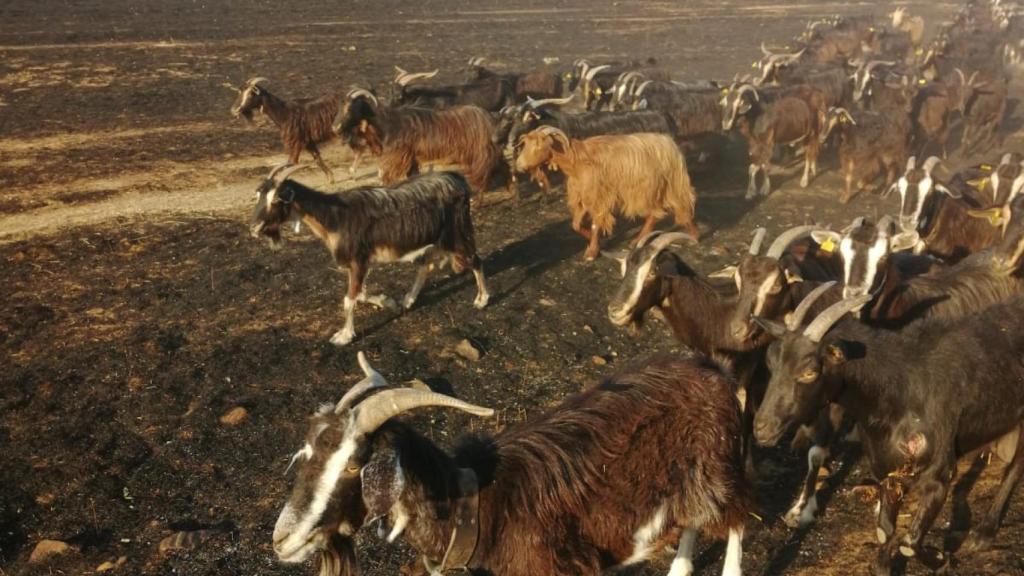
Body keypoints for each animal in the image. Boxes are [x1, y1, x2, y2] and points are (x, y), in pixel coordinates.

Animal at [249, 165, 489, 346]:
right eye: (259, 196)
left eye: (277, 200)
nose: (254, 228)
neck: (335, 217)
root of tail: (457, 180)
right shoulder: (357, 265)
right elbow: (360, 294)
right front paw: (388, 302)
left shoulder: (358, 261)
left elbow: (349, 300)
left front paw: (343, 336)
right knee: (426, 266)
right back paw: (408, 300)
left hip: (456, 233)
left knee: (475, 260)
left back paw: (481, 300)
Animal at [273, 351, 752, 576]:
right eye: (308, 453)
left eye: (355, 464)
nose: (282, 540)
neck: (478, 510)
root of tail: (714, 370)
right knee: (693, 521)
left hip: (720, 466)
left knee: (735, 520)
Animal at [333, 90, 499, 204]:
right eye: (339, 108)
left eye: (350, 109)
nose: (335, 128)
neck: (386, 125)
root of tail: (487, 118)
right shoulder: (411, 160)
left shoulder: (396, 161)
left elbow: (387, 181)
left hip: (480, 155)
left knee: (482, 176)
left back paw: (476, 202)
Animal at [515, 127, 697, 260]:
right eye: (525, 144)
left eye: (539, 145)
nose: (519, 165)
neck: (576, 160)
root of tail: (670, 142)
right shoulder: (583, 196)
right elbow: (576, 225)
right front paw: (595, 242)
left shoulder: (598, 197)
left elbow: (596, 224)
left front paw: (592, 251)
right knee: (655, 214)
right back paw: (637, 241)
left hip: (670, 185)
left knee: (680, 206)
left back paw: (694, 237)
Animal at [753, 288, 1024, 575]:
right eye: (770, 363)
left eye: (809, 372)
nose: (761, 428)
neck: (900, 387)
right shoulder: (887, 469)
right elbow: (885, 529)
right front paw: (884, 566)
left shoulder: (939, 474)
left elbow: (910, 542)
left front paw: (941, 558)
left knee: (1016, 465)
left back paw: (984, 533)